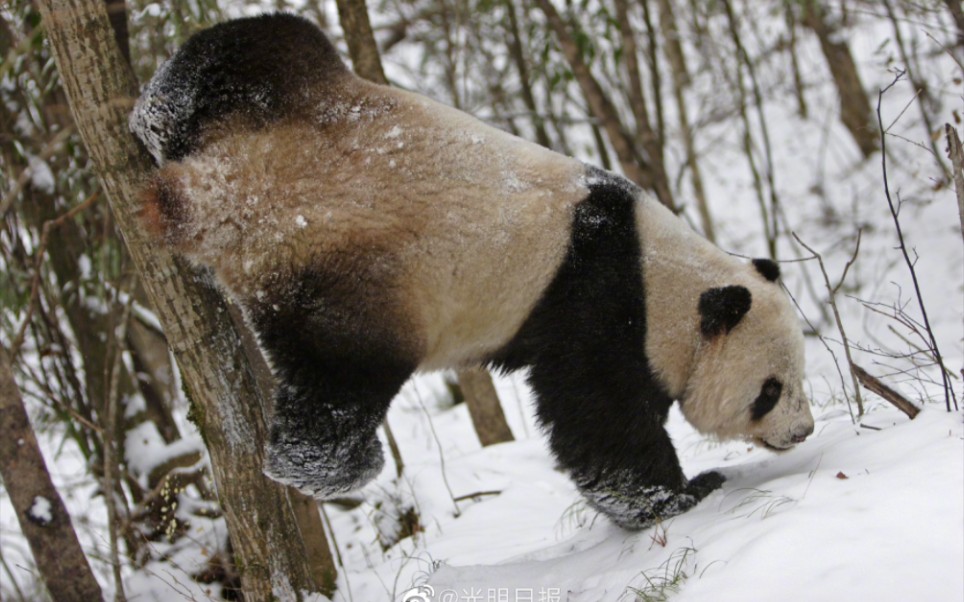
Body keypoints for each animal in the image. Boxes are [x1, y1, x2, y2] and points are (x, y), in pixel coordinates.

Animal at [130, 14, 812, 528]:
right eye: (770, 389)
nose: (803, 431)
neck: (661, 272)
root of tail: (216, 196)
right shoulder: (597, 310)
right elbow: (601, 422)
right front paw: (683, 494)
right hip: (361, 287)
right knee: (343, 379)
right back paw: (333, 468)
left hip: (282, 97)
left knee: (242, 50)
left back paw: (150, 115)